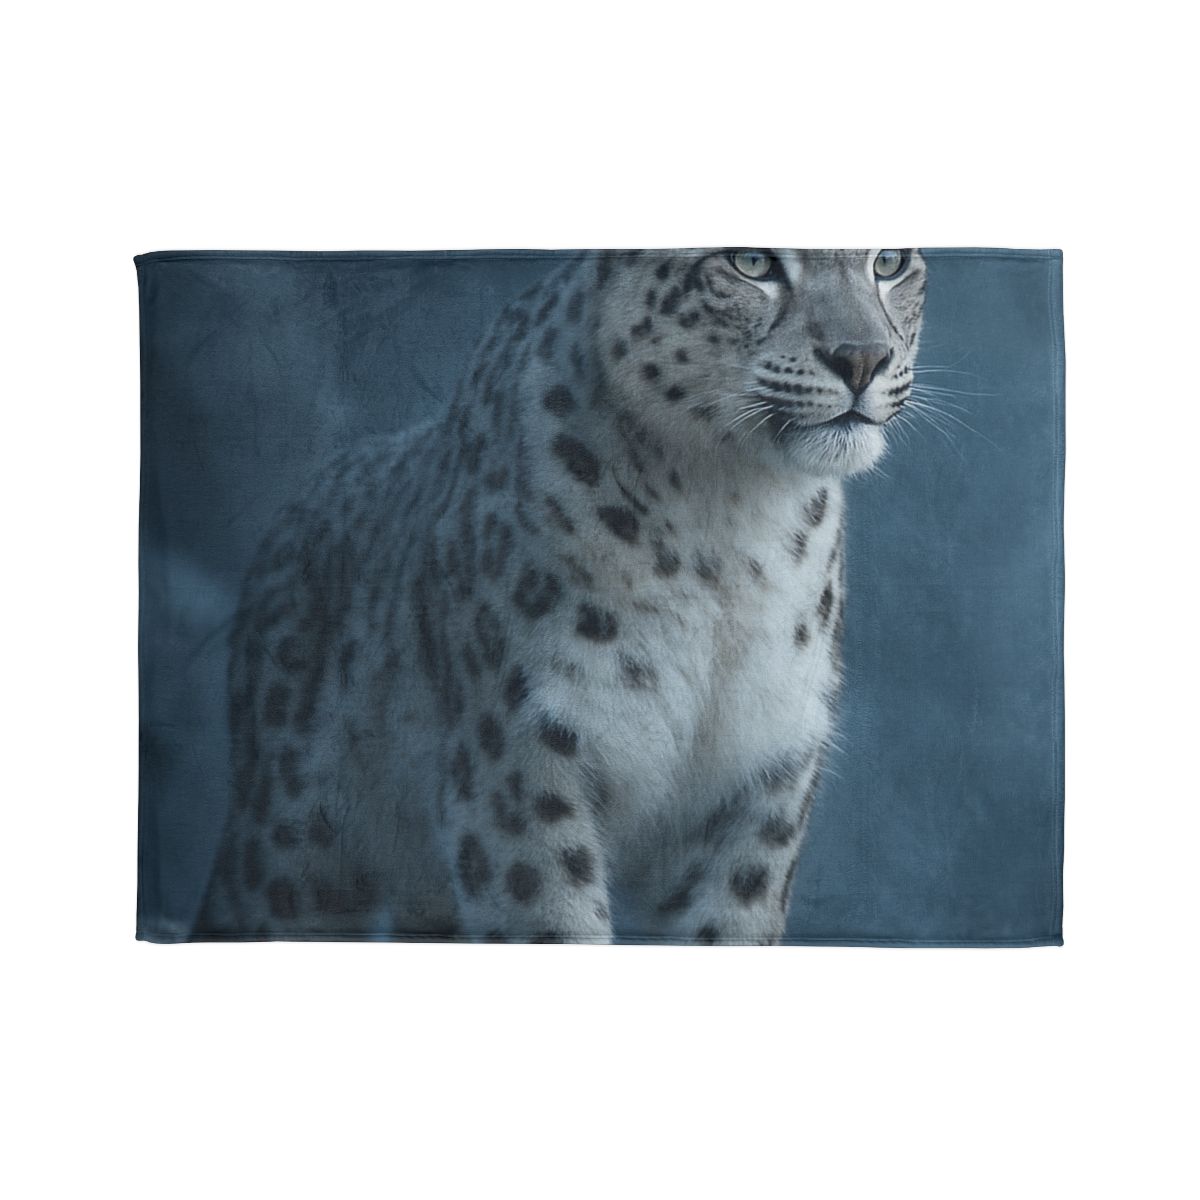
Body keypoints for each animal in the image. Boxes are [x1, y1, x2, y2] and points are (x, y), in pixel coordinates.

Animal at [194, 247, 927, 943]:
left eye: (889, 262)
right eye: (750, 263)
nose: (862, 358)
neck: (733, 527)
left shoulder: (762, 781)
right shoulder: (521, 762)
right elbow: (551, 920)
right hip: (292, 847)